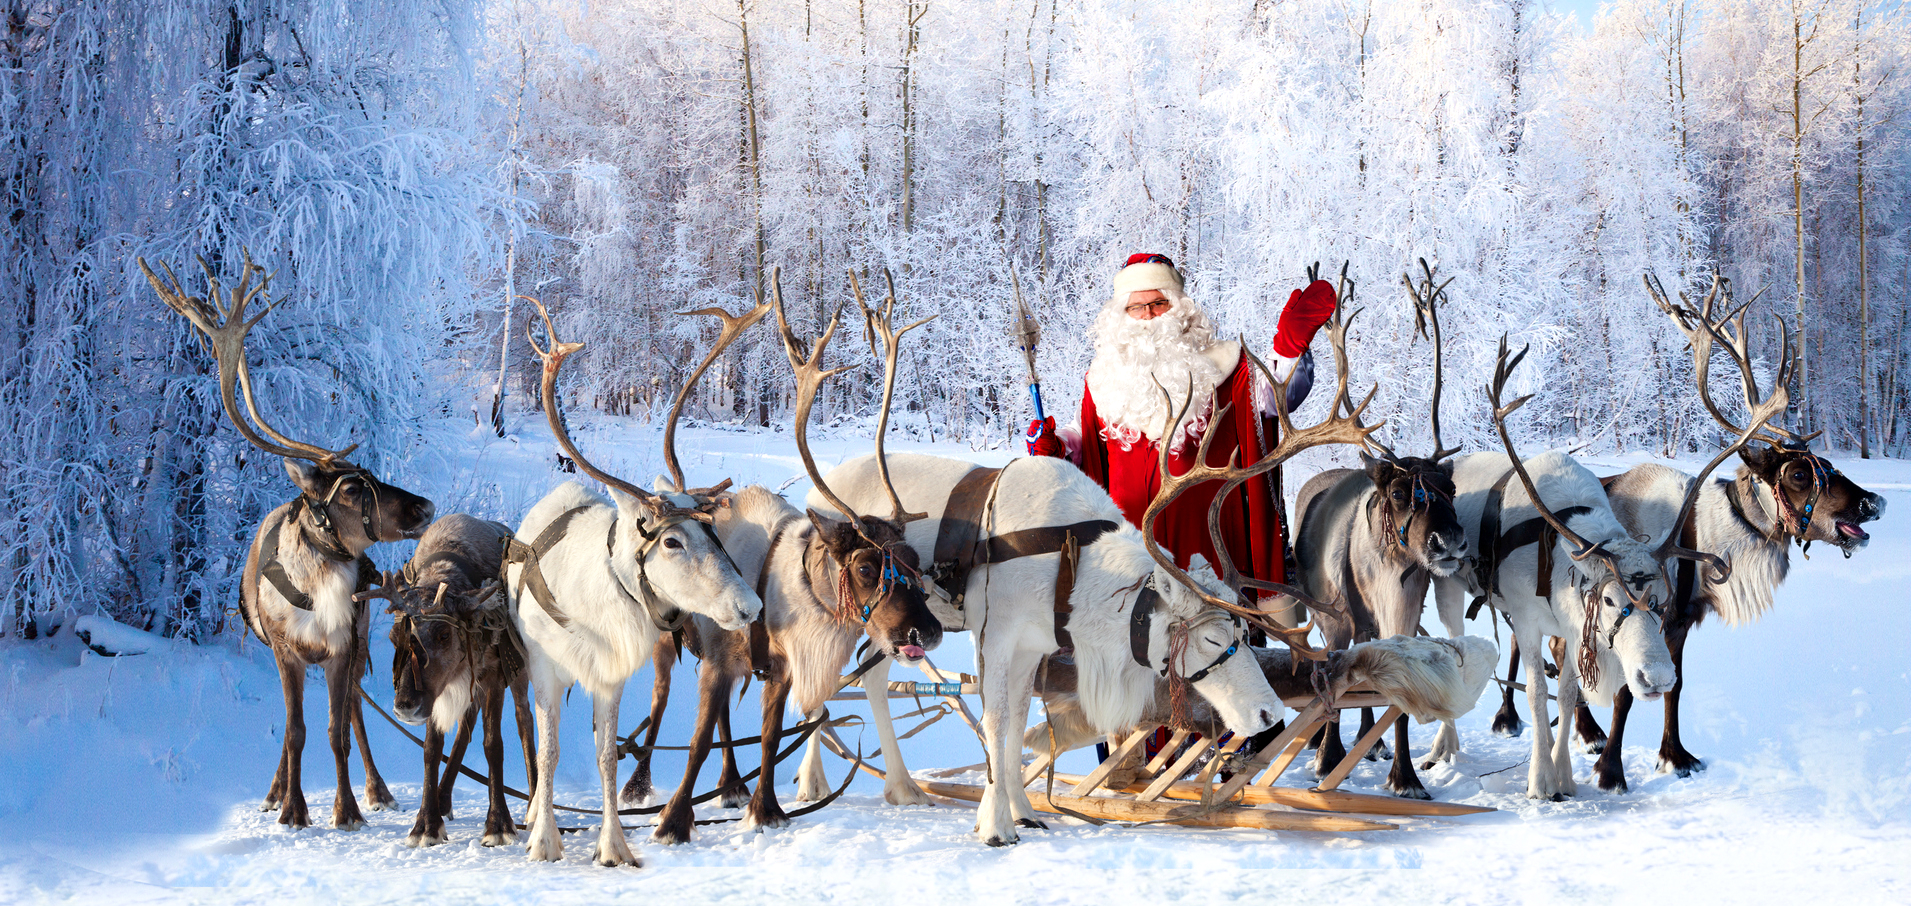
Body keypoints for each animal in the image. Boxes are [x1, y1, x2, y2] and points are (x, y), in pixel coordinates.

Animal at [142, 251, 435, 829]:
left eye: (371, 474)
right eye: (351, 489)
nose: (425, 506)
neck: (318, 588)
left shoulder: (343, 647)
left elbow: (337, 731)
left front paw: (347, 810)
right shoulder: (284, 650)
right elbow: (296, 732)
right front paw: (293, 808)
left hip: (359, 644)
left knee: (354, 714)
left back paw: (378, 789)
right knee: (293, 726)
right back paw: (275, 790)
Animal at [355, 513, 536, 847]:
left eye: (443, 634)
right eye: (394, 637)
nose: (404, 707)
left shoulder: (492, 675)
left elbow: (493, 744)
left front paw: (498, 825)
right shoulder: (437, 692)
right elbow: (432, 748)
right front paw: (426, 824)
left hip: (518, 672)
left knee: (524, 721)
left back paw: (533, 805)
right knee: (464, 729)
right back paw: (442, 800)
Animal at [505, 298, 763, 867]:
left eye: (712, 529)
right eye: (671, 542)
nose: (750, 605)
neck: (590, 609)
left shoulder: (610, 677)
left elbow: (606, 756)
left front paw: (614, 844)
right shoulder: (545, 668)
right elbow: (550, 750)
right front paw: (545, 838)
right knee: (535, 737)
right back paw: (532, 810)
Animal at [1290, 261, 1471, 799]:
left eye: (1451, 487)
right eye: (1397, 493)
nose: (1449, 542)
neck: (1388, 581)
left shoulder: (1403, 619)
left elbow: (1396, 702)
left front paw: (1405, 777)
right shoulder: (1335, 620)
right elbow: (1331, 681)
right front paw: (1328, 760)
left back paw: (1372, 745)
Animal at [1429, 335, 1781, 799]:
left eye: (1661, 600)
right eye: (1611, 600)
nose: (1658, 677)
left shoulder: (1571, 625)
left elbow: (1565, 694)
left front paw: (1564, 775)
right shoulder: (1527, 618)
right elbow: (1537, 693)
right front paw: (1540, 780)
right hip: (1447, 585)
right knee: (1451, 646)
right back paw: (1445, 745)